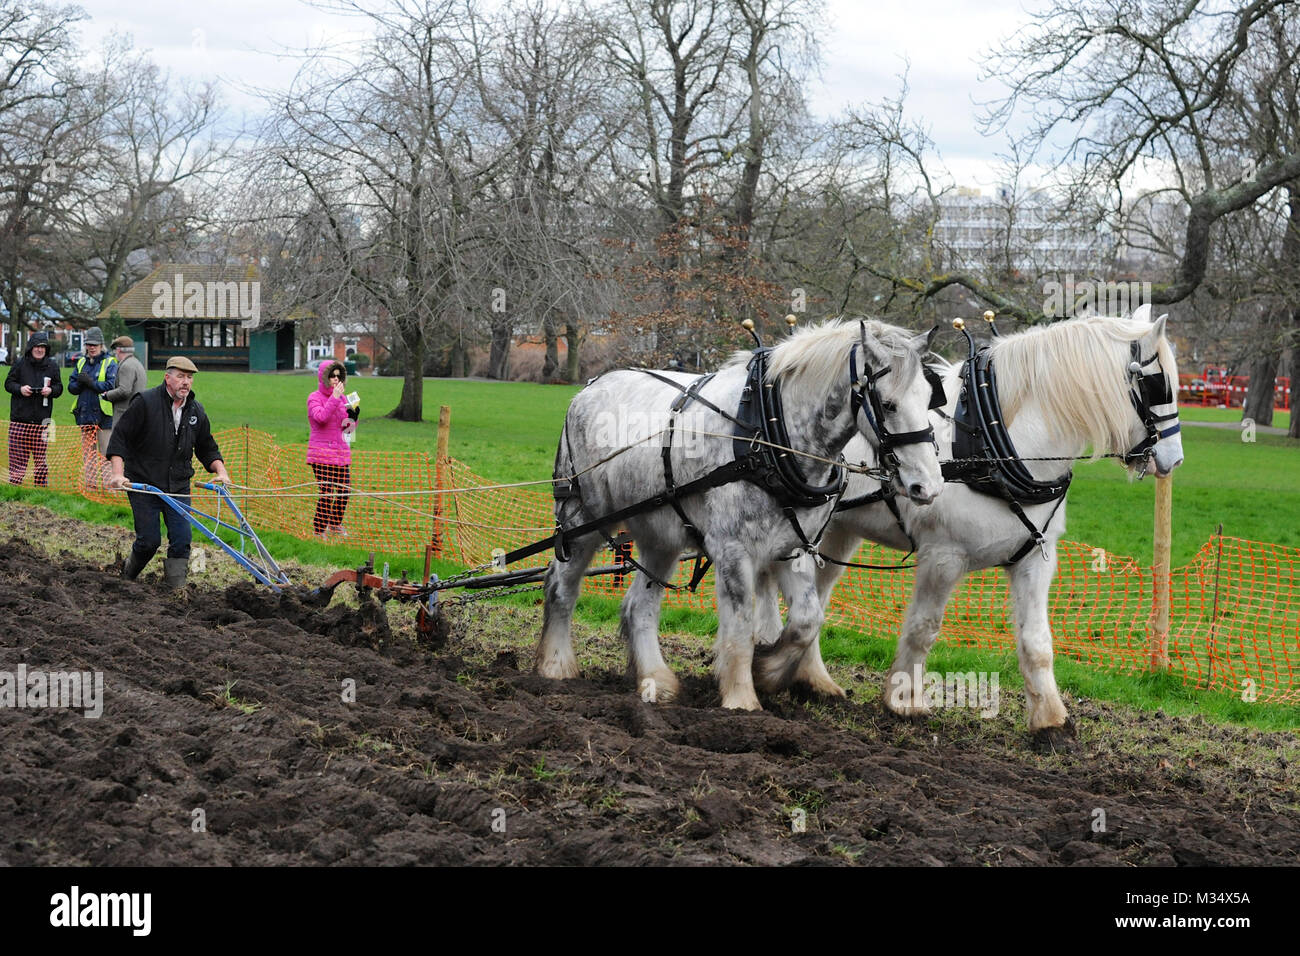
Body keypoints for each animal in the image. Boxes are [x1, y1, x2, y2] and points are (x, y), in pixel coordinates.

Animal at [535, 321, 946, 712]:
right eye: (888, 404)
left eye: (929, 399)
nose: (928, 486)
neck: (769, 435)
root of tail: (588, 388)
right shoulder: (733, 550)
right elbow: (741, 626)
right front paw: (741, 698)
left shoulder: (794, 547)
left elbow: (807, 620)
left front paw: (768, 672)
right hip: (581, 519)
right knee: (561, 587)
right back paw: (556, 665)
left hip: (660, 536)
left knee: (639, 606)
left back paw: (655, 679)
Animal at [780, 306, 1190, 749]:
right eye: (1160, 385)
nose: (1175, 459)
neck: (995, 446)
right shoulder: (942, 559)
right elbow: (923, 628)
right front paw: (905, 702)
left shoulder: (1035, 558)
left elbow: (1036, 642)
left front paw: (1050, 721)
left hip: (838, 533)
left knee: (818, 598)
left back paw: (814, 681)